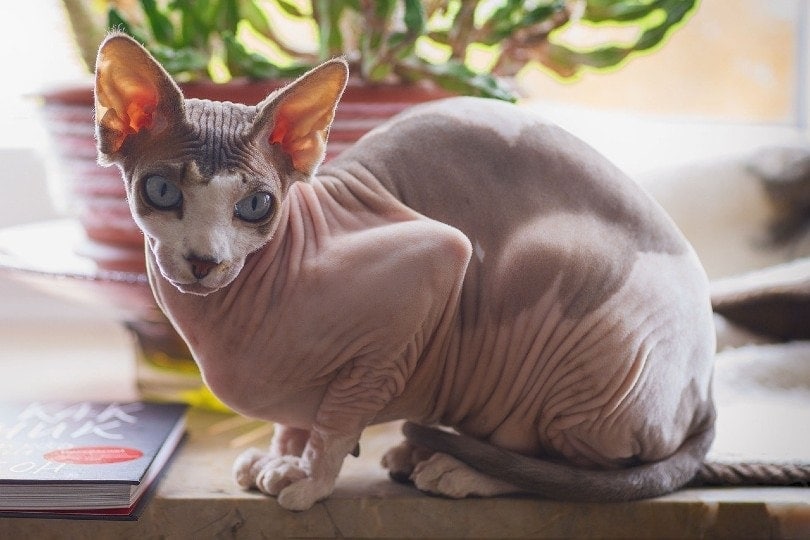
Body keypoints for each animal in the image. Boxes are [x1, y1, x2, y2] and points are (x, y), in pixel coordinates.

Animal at [93, 34, 712, 510]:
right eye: (162, 191)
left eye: (255, 206)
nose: (204, 260)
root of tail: (703, 392)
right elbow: (296, 418)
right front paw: (281, 456)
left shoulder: (434, 260)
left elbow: (340, 415)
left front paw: (309, 477)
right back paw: (420, 452)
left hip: (561, 288)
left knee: (563, 467)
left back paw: (460, 470)